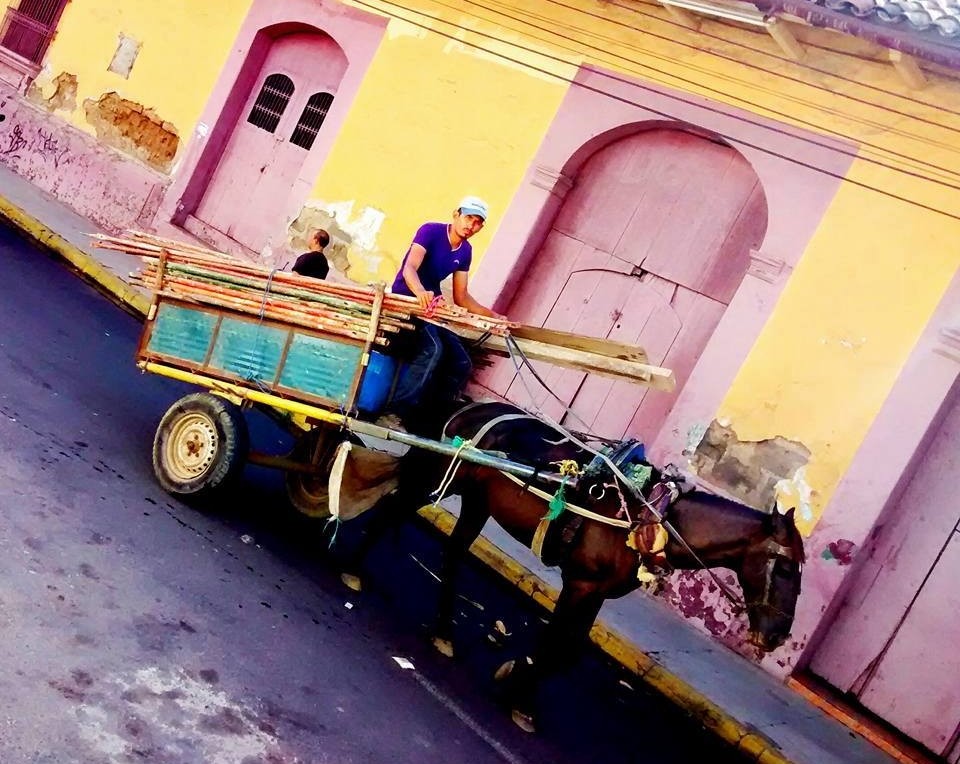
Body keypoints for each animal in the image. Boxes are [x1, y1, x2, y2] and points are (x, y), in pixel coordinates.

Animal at [342, 402, 808, 732]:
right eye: (786, 568)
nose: (776, 636)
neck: (650, 516)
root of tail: (471, 407)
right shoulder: (580, 584)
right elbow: (556, 644)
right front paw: (515, 683)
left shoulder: (596, 592)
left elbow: (568, 652)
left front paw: (521, 691)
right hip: (446, 476)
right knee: (394, 508)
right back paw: (353, 569)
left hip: (477, 501)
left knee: (453, 551)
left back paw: (442, 630)